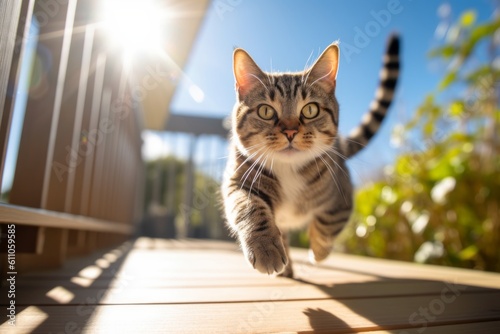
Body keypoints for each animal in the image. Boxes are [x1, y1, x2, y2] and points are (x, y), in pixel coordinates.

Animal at [221, 35, 400, 278]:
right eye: (266, 111)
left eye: (310, 110)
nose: (290, 131)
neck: (289, 168)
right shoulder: (238, 180)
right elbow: (249, 207)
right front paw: (267, 249)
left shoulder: (342, 196)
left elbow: (328, 224)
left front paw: (318, 252)